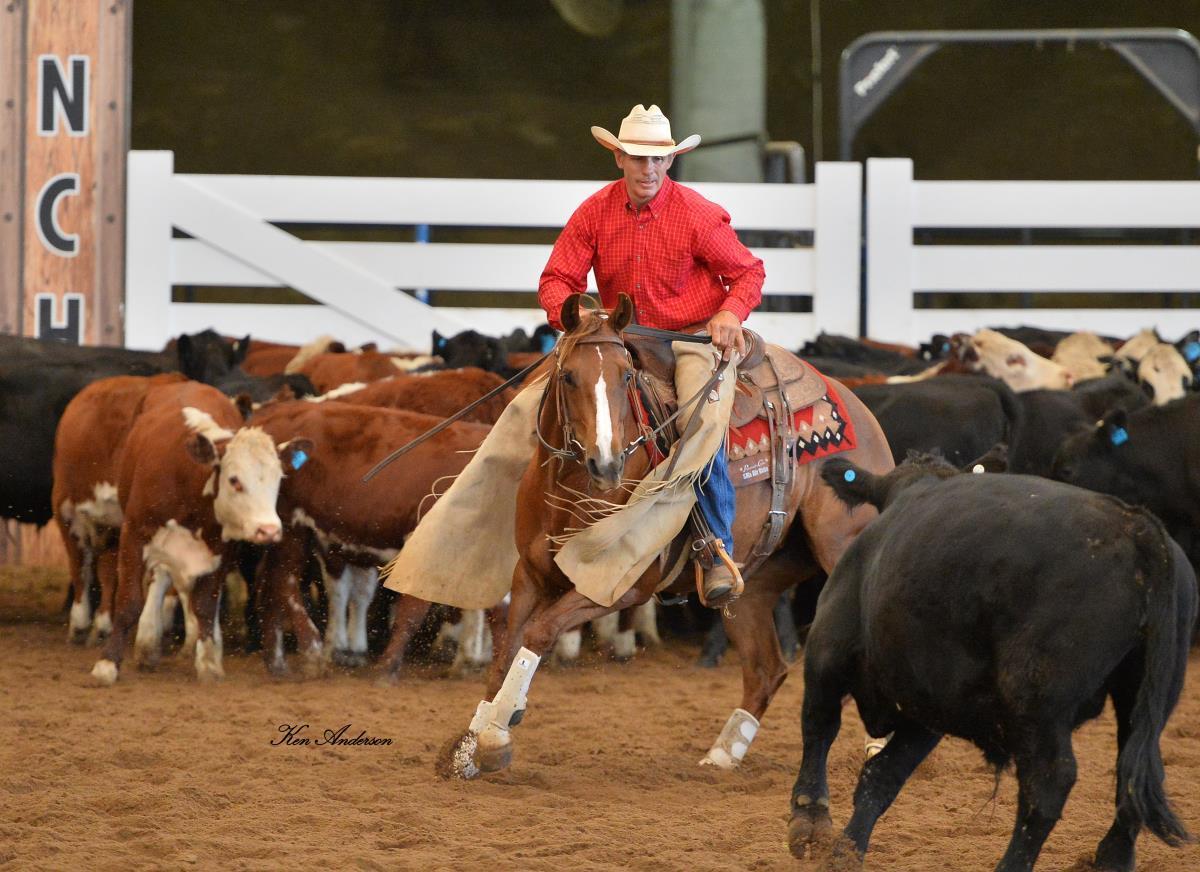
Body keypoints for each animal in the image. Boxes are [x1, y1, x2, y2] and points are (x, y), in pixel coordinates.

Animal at [90, 381, 311, 685]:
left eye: (279, 478)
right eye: (234, 480)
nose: (268, 530)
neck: (187, 481)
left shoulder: (220, 549)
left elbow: (206, 604)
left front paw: (208, 662)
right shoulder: (134, 534)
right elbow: (128, 602)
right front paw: (107, 664)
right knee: (160, 580)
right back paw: (147, 644)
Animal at [441, 293, 894, 779]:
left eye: (625, 376)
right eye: (567, 376)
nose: (606, 464)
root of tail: (855, 405)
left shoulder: (620, 587)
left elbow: (538, 633)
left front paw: (496, 735)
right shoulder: (530, 575)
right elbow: (507, 647)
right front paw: (468, 747)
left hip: (841, 547)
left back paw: (879, 752)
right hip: (755, 582)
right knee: (766, 669)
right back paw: (721, 755)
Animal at [787, 455, 1196, 871]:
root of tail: (1138, 527)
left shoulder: (827, 649)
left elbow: (819, 726)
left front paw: (809, 820)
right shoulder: (926, 710)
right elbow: (881, 776)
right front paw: (845, 851)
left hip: (1037, 701)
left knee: (1049, 784)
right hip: (1141, 696)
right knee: (1132, 776)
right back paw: (1113, 858)